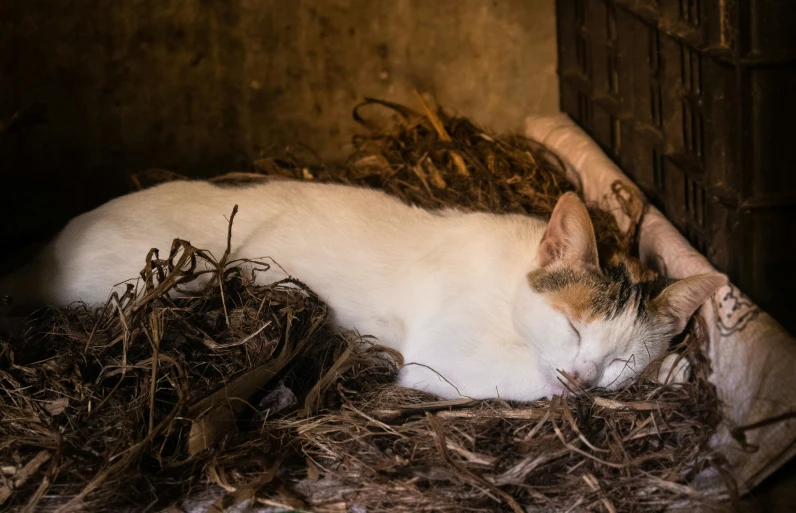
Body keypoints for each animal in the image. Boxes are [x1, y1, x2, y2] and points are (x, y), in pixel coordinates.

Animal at [0, 180, 724, 400]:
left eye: (620, 356)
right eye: (572, 326)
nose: (583, 373)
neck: (509, 282)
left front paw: (672, 367)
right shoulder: (442, 355)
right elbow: (537, 383)